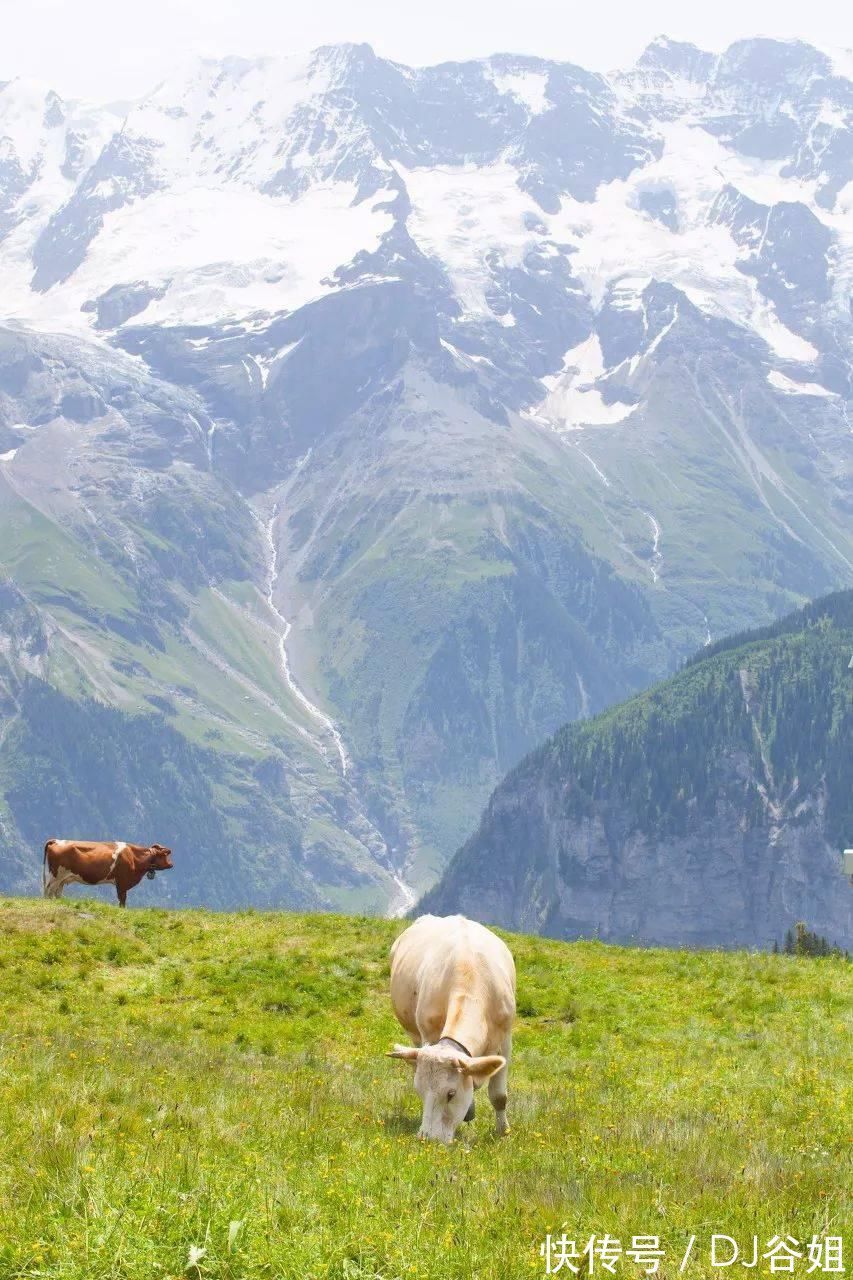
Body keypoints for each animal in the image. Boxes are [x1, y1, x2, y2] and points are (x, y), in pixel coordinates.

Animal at [43, 839, 172, 911]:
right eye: (165, 854)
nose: (171, 864)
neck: (134, 857)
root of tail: (56, 840)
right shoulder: (122, 882)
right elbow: (122, 899)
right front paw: (122, 910)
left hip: (61, 878)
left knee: (57, 892)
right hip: (56, 875)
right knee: (49, 890)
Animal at [386, 916, 517, 1146]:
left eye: (451, 1094)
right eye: (419, 1092)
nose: (428, 1139)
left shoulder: (505, 1040)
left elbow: (499, 1096)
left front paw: (503, 1133)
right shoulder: (428, 1035)